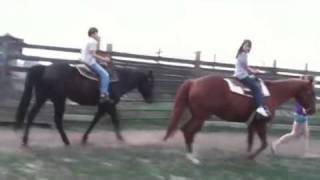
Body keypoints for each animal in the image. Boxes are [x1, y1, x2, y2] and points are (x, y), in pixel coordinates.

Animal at [164, 74, 316, 163]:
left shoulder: (253, 124)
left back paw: (191, 154)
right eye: (310, 92)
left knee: (187, 130)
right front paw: (250, 157)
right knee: (189, 130)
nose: (313, 110)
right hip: (201, 116)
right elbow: (264, 143)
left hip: (198, 115)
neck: (273, 93)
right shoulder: (261, 123)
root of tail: (194, 82)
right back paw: (192, 157)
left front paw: (246, 156)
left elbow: (250, 141)